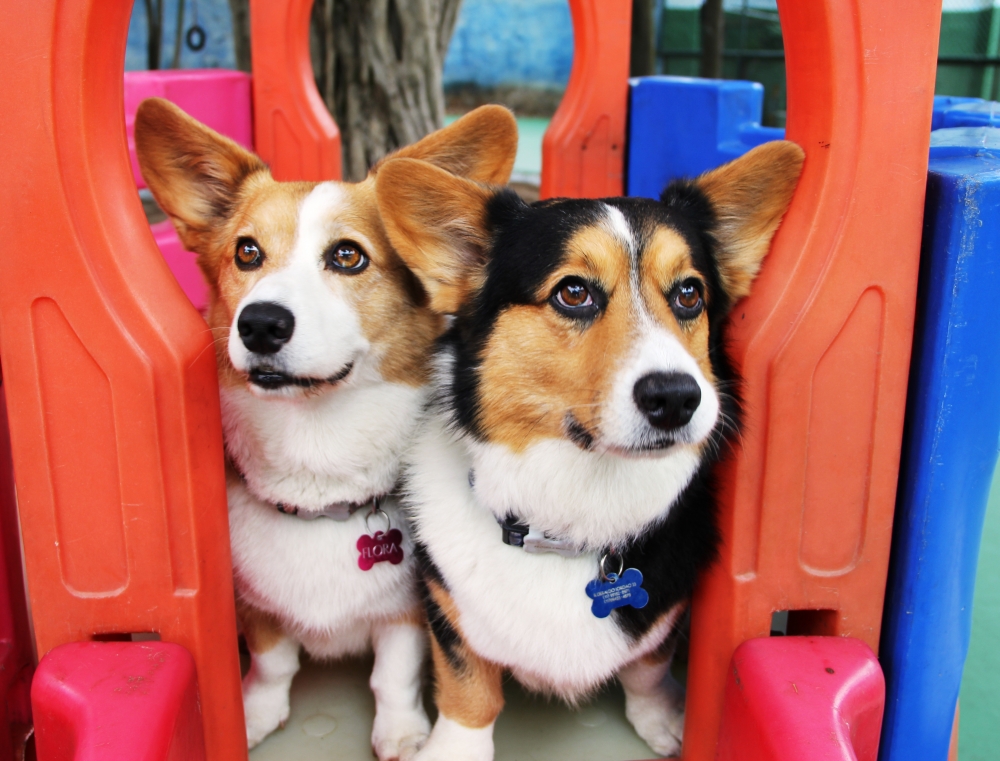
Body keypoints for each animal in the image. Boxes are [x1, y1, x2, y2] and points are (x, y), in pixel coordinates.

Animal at [134, 96, 520, 756]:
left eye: (348, 256)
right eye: (247, 252)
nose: (260, 324)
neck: (316, 459)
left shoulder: (408, 613)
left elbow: (391, 674)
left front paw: (402, 734)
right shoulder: (255, 607)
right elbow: (273, 664)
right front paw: (253, 715)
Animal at [376, 140, 804, 756]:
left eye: (689, 293)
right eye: (573, 292)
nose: (677, 397)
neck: (570, 515)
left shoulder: (667, 612)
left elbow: (648, 664)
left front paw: (662, 720)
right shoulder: (444, 604)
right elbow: (468, 689)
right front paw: (455, 750)